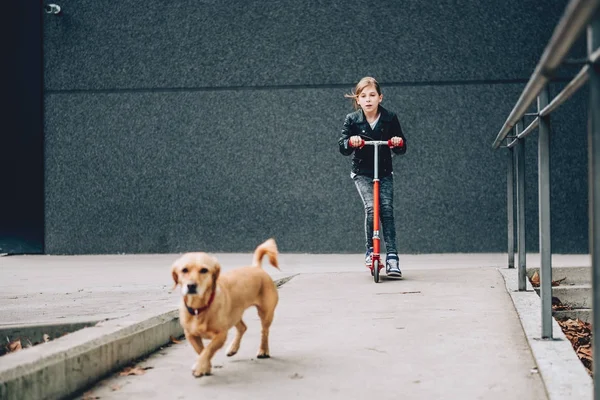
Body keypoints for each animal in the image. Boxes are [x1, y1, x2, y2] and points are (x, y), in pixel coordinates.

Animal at [170, 238, 280, 378]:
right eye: (184, 270)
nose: (191, 286)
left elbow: (208, 350)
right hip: (234, 314)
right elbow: (201, 351)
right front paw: (205, 366)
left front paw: (200, 366)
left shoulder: (221, 335)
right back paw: (233, 348)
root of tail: (256, 267)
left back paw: (263, 350)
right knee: (243, 327)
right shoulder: (191, 335)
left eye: (204, 270)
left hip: (265, 313)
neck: (199, 308)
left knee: (264, 331)